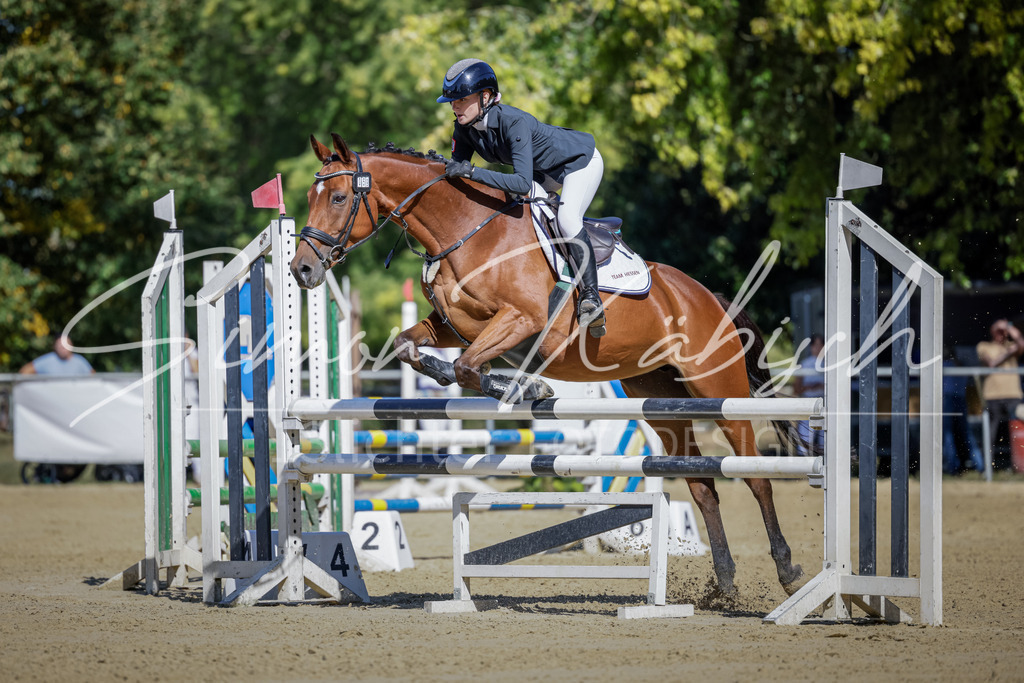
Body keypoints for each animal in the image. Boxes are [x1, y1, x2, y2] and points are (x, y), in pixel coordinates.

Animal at [292, 133, 807, 596]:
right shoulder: (451, 325)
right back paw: (725, 583)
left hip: (717, 387)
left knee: (756, 476)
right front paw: (502, 383)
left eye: (338, 197)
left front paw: (525, 389)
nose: (302, 270)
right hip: (663, 401)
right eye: (310, 197)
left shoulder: (521, 320)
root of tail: (707, 297)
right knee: (703, 486)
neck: (464, 230)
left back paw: (787, 571)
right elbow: (411, 349)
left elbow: (468, 367)